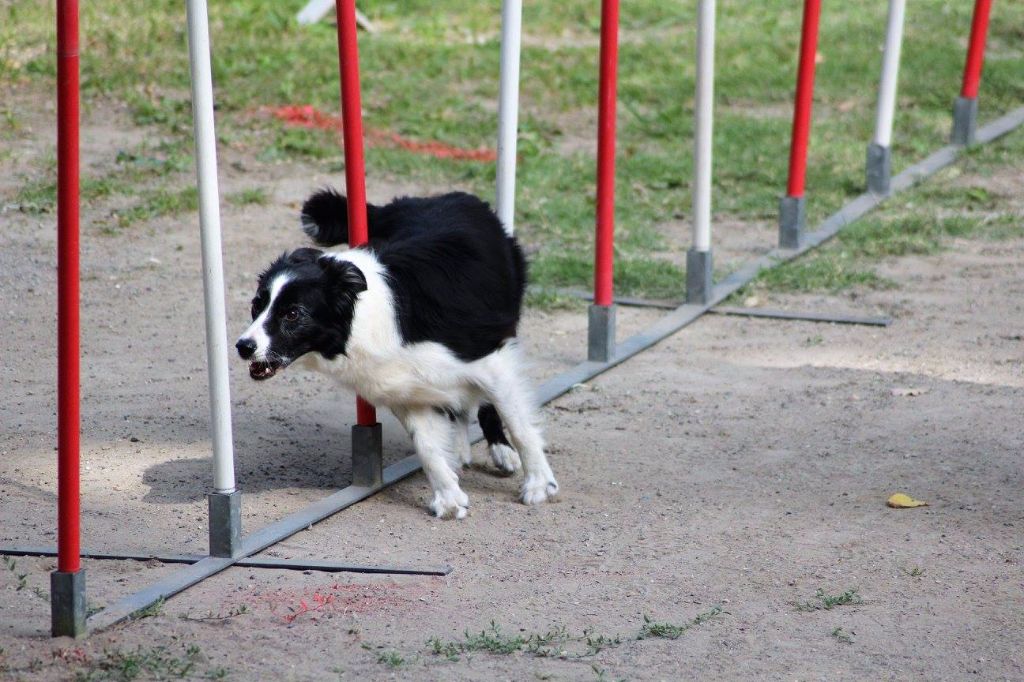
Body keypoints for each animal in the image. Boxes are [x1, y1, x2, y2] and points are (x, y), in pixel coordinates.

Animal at [237, 188, 561, 518]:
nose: (243, 346)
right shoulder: (407, 388)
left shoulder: (489, 358)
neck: (361, 318)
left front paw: (539, 484)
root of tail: (444, 195)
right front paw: (449, 499)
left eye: (293, 313)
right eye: (256, 305)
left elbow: (519, 425)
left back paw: (500, 450)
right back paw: (459, 449)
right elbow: (427, 447)